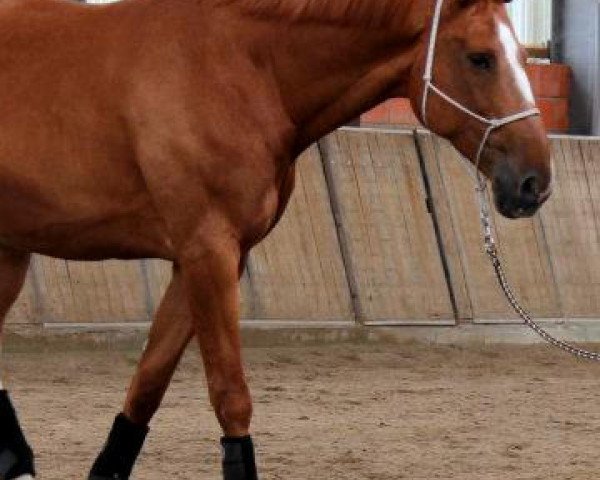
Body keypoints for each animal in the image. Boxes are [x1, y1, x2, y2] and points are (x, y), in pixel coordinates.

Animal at [0, 0, 552, 478]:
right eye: (480, 58)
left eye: (525, 58)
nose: (535, 183)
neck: (242, 68)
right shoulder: (208, 253)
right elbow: (230, 396)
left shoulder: (210, 260)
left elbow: (147, 386)